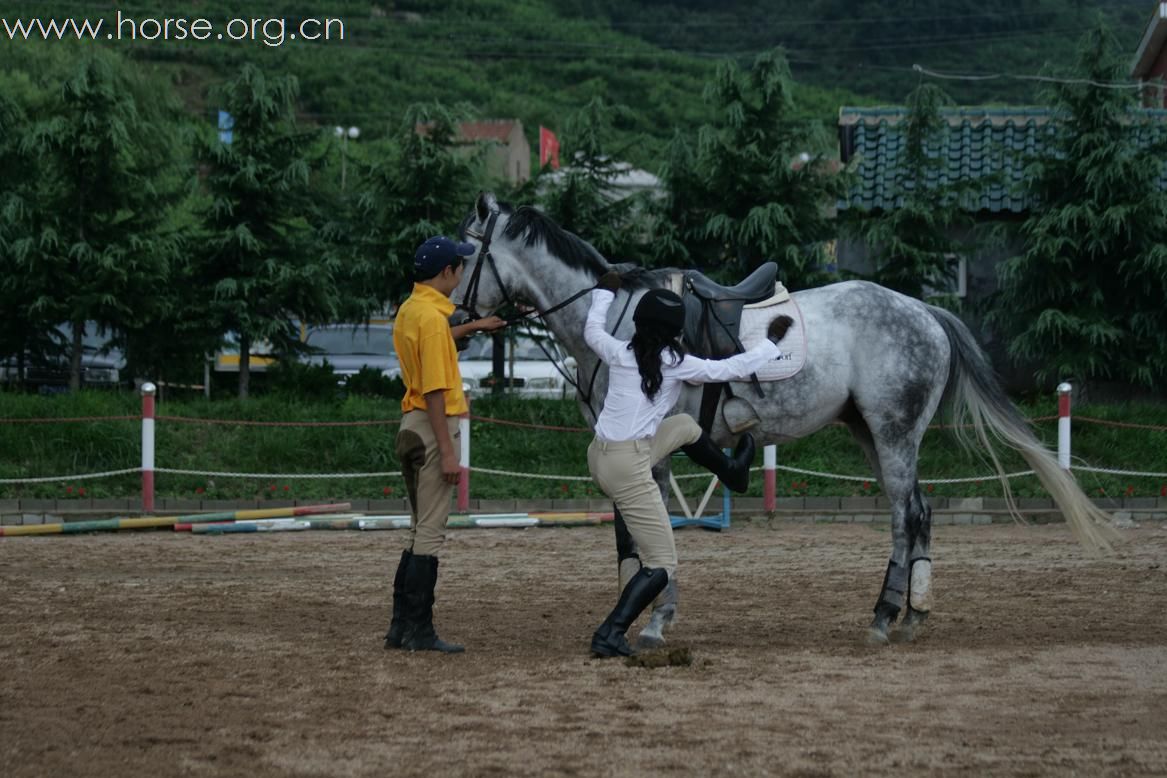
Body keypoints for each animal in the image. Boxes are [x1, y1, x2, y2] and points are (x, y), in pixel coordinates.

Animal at [452, 191, 1110, 643]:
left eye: (466, 253)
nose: (456, 320)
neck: (616, 320)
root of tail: (925, 311)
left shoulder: (645, 448)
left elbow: (652, 531)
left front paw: (656, 619)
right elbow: (629, 536)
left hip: (894, 434)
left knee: (908, 516)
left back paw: (888, 615)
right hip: (871, 433)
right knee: (915, 514)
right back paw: (906, 614)